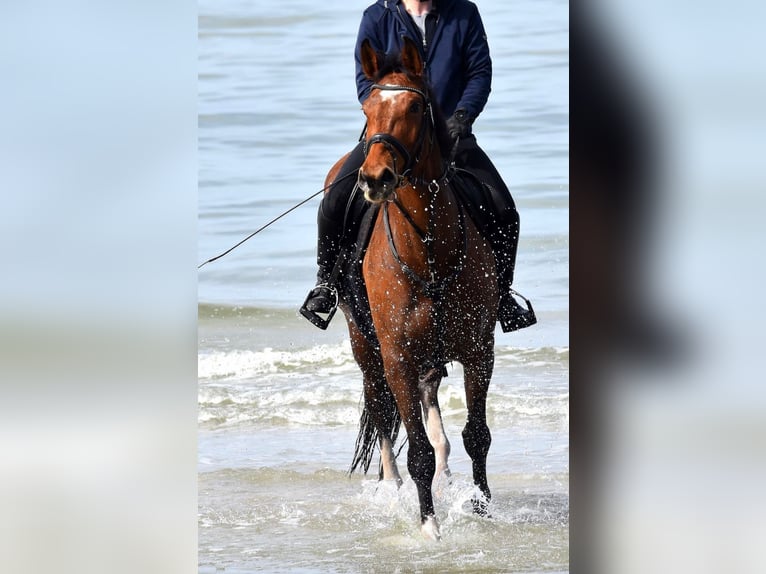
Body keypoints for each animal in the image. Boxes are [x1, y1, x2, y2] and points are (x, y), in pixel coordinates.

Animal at [324, 38, 498, 544]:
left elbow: (477, 435)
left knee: (431, 407)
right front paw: (429, 526)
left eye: (417, 107)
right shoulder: (396, 356)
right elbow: (414, 447)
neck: (429, 249)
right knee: (382, 412)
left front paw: (481, 509)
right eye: (367, 107)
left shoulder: (479, 350)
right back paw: (394, 489)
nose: (374, 178)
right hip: (365, 345)